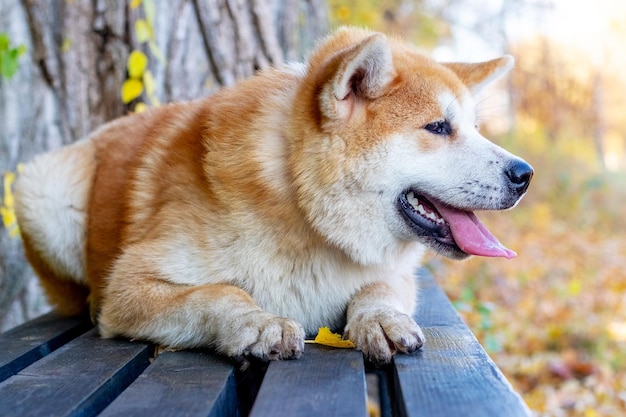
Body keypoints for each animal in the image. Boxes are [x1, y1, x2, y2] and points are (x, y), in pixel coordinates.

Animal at [14, 27, 528, 362]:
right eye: (438, 127)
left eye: (474, 128)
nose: (525, 173)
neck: (303, 209)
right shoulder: (129, 285)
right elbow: (219, 292)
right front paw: (257, 322)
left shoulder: (394, 274)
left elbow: (377, 289)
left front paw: (379, 318)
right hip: (41, 190)